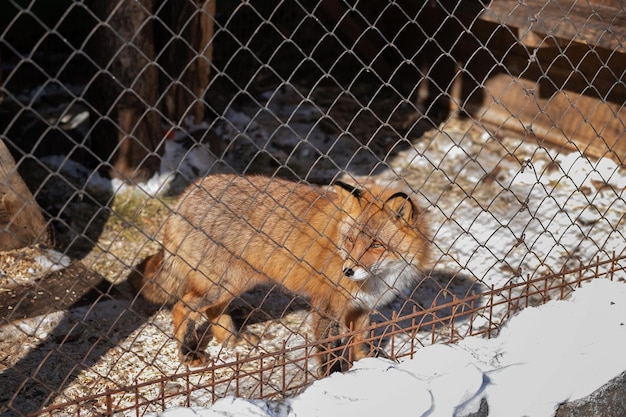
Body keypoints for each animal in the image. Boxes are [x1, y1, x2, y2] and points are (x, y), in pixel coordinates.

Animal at [127, 173, 428, 374]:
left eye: (376, 244)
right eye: (351, 240)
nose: (348, 271)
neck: (378, 280)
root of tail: (187, 194)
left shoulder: (362, 308)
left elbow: (361, 342)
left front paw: (367, 365)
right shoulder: (327, 306)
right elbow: (329, 350)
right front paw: (334, 377)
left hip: (235, 282)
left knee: (213, 311)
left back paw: (233, 339)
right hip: (219, 284)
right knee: (181, 306)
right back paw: (188, 353)